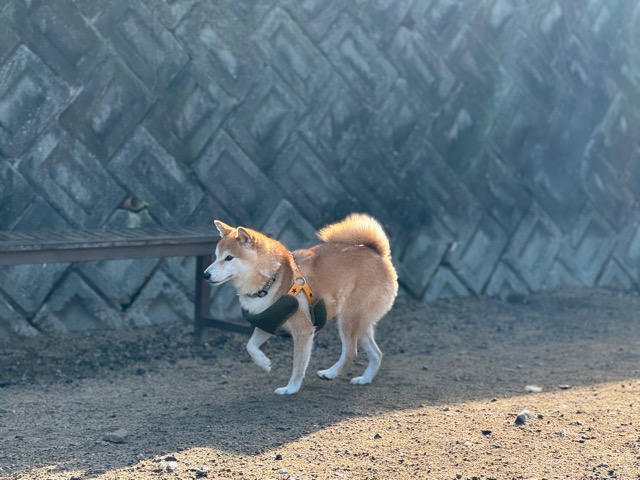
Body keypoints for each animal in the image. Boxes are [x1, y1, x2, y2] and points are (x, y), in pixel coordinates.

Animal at [203, 213, 398, 395]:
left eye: (229, 258)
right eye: (216, 256)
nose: (205, 274)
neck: (273, 279)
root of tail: (377, 254)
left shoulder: (303, 330)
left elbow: (298, 365)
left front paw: (291, 388)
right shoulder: (269, 322)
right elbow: (250, 346)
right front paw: (264, 363)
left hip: (348, 319)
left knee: (351, 352)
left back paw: (330, 373)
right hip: (360, 324)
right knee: (376, 354)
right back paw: (364, 379)